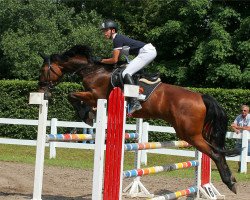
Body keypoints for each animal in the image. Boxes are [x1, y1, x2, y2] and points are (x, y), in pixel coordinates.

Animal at [38, 44, 238, 194]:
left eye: (44, 70)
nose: (42, 90)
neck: (93, 70)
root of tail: (201, 97)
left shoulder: (96, 95)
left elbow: (72, 95)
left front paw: (86, 114)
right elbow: (77, 98)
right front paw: (89, 113)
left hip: (190, 134)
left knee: (215, 153)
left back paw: (230, 182)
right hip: (198, 133)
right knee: (215, 151)